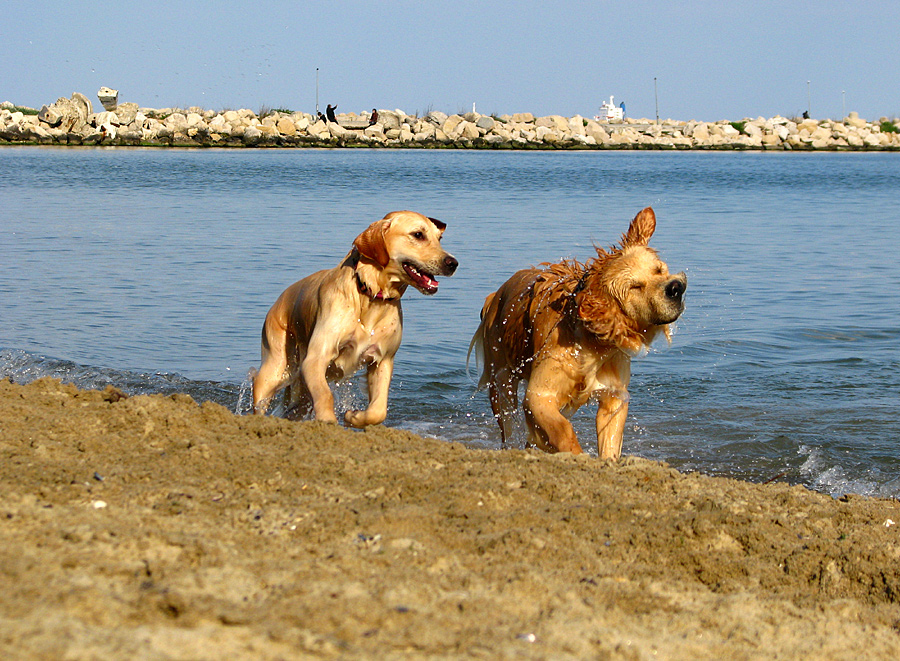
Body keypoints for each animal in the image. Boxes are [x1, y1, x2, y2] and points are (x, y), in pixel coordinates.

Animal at [253, 210, 458, 427]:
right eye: (418, 234)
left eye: (439, 238)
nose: (453, 263)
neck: (370, 295)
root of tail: (278, 301)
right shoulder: (316, 359)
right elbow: (325, 395)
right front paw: (328, 420)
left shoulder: (383, 360)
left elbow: (378, 410)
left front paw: (353, 416)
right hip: (276, 368)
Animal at [469, 207, 685, 460]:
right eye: (635, 287)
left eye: (659, 270)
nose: (676, 288)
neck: (594, 341)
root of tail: (495, 296)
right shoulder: (539, 394)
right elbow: (562, 429)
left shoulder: (614, 395)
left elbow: (610, 438)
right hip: (501, 381)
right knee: (508, 424)